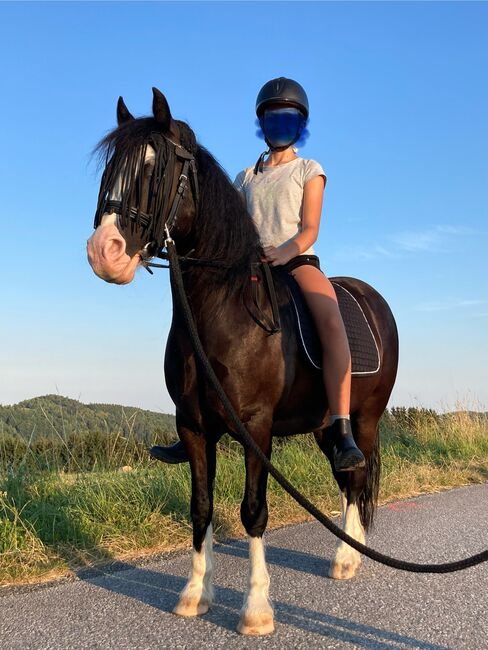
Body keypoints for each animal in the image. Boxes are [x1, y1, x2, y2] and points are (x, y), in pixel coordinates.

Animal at [86, 88, 400, 636]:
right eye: (110, 169)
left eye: (155, 168)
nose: (105, 253)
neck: (220, 311)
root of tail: (372, 298)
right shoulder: (193, 427)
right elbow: (201, 508)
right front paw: (195, 594)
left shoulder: (255, 426)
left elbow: (253, 511)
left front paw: (256, 610)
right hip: (324, 425)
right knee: (347, 477)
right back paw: (350, 553)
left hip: (364, 418)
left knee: (357, 475)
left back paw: (346, 558)